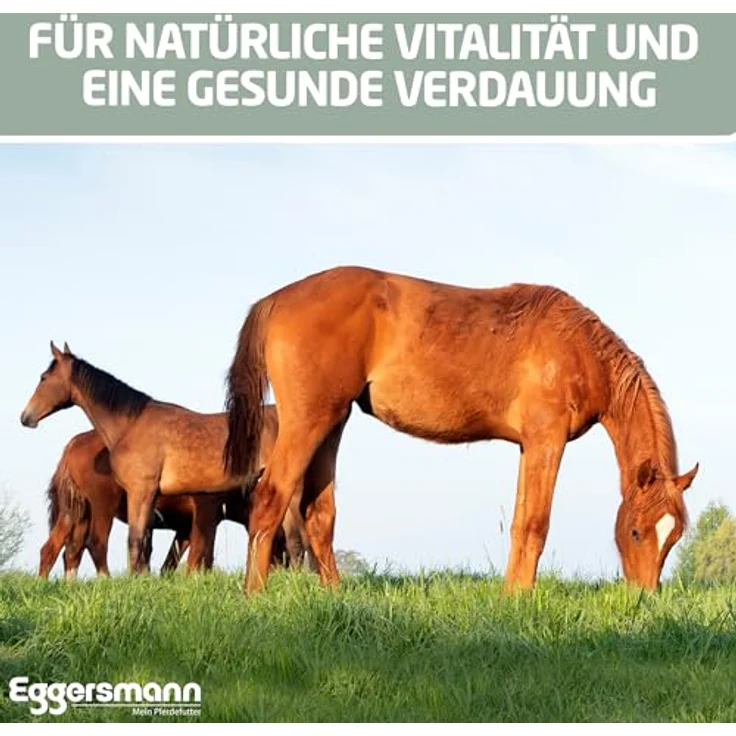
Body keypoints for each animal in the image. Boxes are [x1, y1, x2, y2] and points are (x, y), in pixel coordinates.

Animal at [21, 344, 315, 575]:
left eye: (44, 377)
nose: (26, 417)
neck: (131, 424)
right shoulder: (154, 499)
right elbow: (146, 546)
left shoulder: (143, 492)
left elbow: (139, 542)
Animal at [223, 266, 698, 594]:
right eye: (636, 531)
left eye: (673, 536)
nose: (644, 596)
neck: (576, 348)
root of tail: (275, 300)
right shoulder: (547, 440)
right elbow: (536, 524)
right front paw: (522, 597)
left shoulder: (529, 446)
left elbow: (521, 522)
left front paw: (510, 596)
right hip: (308, 423)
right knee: (270, 500)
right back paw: (254, 596)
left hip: (332, 422)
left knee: (318, 514)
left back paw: (335, 596)